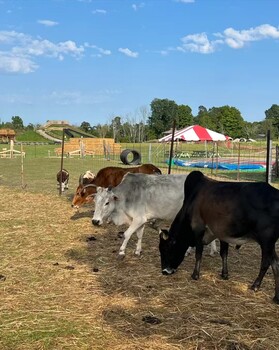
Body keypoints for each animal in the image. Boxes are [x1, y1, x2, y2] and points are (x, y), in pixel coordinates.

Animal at [161, 171, 279, 302]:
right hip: (269, 243)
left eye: (166, 249)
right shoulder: (222, 235)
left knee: (266, 263)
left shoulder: (198, 228)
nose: (164, 271)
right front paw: (224, 274)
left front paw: (195, 275)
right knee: (275, 263)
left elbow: (199, 253)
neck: (192, 199)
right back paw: (276, 297)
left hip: (266, 241)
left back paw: (255, 285)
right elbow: (224, 253)